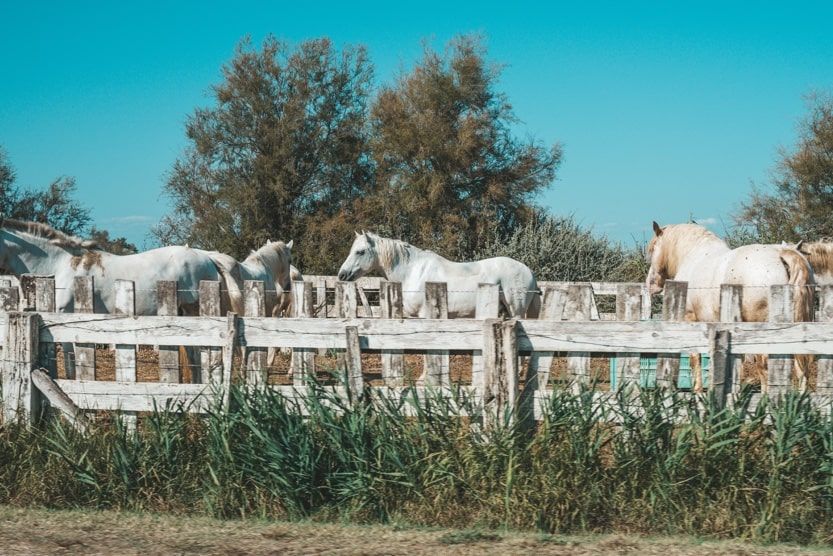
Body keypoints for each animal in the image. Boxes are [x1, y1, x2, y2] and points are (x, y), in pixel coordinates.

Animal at [644, 219, 812, 394]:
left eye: (653, 248)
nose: (650, 284)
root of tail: (781, 255)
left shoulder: (691, 320)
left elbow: (696, 358)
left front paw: (699, 391)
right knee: (800, 368)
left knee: (765, 367)